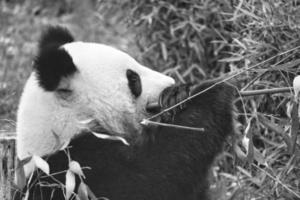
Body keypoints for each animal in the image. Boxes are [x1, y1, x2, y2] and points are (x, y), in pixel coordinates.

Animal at [13, 26, 234, 200]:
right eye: (133, 79)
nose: (169, 83)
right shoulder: (82, 169)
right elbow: (157, 173)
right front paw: (211, 93)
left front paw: (179, 94)